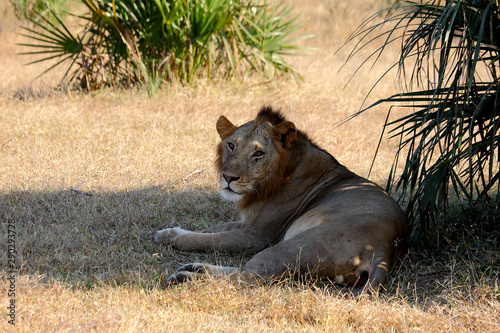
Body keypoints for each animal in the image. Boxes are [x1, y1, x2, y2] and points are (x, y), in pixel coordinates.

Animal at [154, 107, 408, 290]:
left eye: (258, 153)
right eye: (231, 145)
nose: (227, 177)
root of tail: (384, 250)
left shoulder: (256, 235)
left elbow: (206, 240)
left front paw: (174, 238)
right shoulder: (246, 221)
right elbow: (210, 230)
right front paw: (168, 233)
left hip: (296, 245)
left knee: (248, 275)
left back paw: (188, 276)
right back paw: (193, 268)